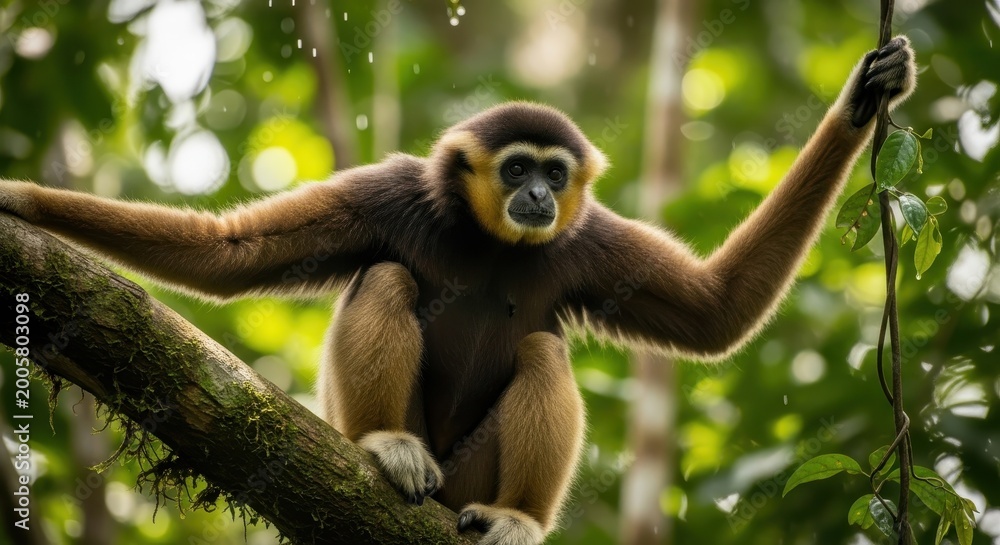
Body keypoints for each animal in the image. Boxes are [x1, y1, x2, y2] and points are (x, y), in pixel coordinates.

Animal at [0, 37, 915, 545]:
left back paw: (519, 519)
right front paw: (24, 202)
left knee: (543, 347)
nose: (538, 196)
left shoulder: (588, 241)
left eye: (555, 175)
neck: (494, 241)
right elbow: (231, 253)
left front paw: (864, 98)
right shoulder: (394, 193)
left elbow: (717, 310)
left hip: (470, 477)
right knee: (389, 277)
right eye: (515, 169)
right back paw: (385, 444)